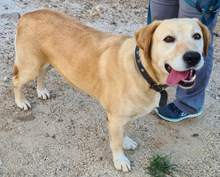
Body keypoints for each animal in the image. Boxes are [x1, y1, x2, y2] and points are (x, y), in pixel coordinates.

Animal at [12, 9, 211, 171]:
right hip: (30, 66)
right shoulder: (115, 119)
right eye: (169, 39)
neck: (141, 70)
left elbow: (125, 131)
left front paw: (126, 141)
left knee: (42, 74)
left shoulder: (128, 116)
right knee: (16, 81)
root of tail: (28, 14)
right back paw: (21, 102)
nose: (193, 57)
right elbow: (115, 144)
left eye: (197, 36)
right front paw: (120, 160)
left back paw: (41, 91)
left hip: (47, 62)